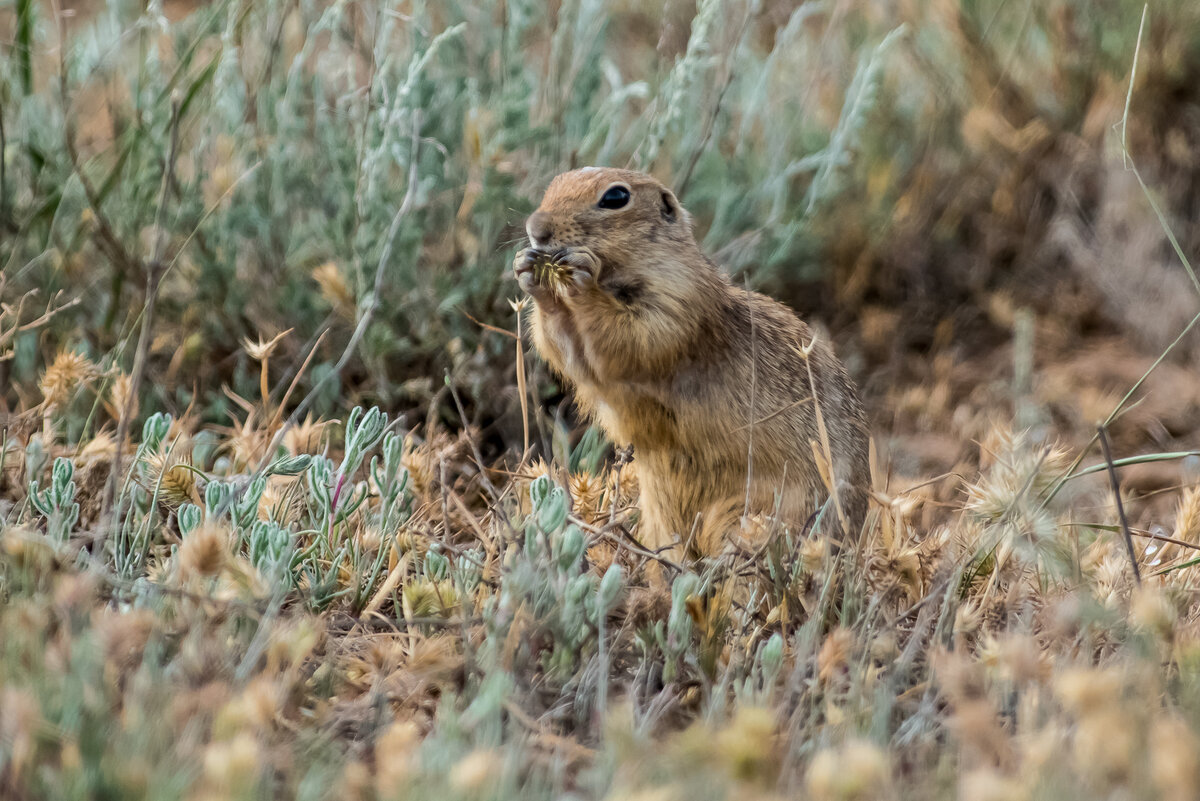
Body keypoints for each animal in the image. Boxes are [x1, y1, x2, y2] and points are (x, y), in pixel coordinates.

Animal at [516, 169, 873, 556]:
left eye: (615, 197)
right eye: (554, 183)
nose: (536, 228)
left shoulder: (676, 306)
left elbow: (626, 338)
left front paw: (579, 278)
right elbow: (566, 352)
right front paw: (531, 275)